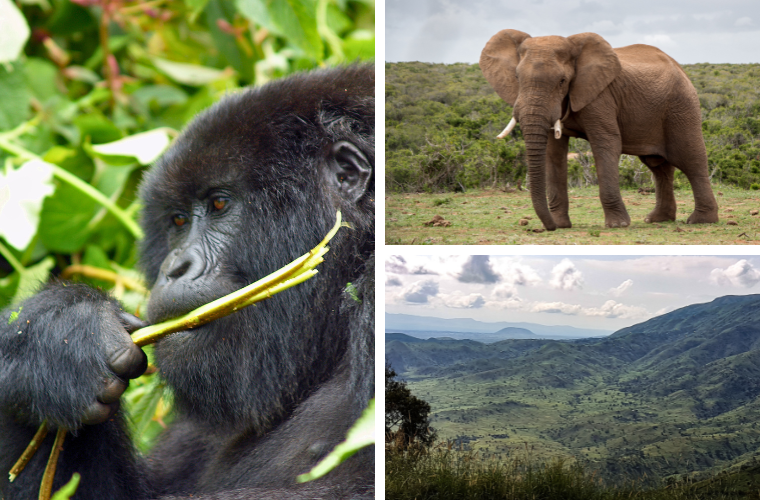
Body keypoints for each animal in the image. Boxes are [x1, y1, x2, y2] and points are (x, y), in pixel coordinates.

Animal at [479, 30, 719, 230]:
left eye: (562, 81)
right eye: (517, 78)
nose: (548, 228)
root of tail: (679, 67)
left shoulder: (601, 96)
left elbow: (606, 143)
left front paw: (618, 225)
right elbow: (553, 153)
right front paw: (561, 225)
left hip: (681, 106)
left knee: (690, 159)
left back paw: (701, 221)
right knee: (658, 166)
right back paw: (657, 219)